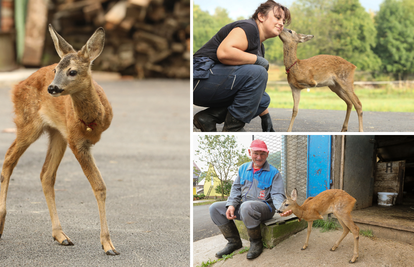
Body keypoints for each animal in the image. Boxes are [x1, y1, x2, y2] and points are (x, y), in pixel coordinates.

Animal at [0, 25, 119, 258]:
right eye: (55, 70)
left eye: (72, 71)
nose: (52, 88)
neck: (92, 121)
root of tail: (17, 85)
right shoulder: (76, 141)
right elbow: (99, 186)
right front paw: (108, 245)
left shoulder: (70, 137)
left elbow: (98, 186)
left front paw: (107, 244)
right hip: (28, 123)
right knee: (9, 159)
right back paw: (1, 223)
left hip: (56, 133)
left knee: (46, 174)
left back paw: (61, 235)